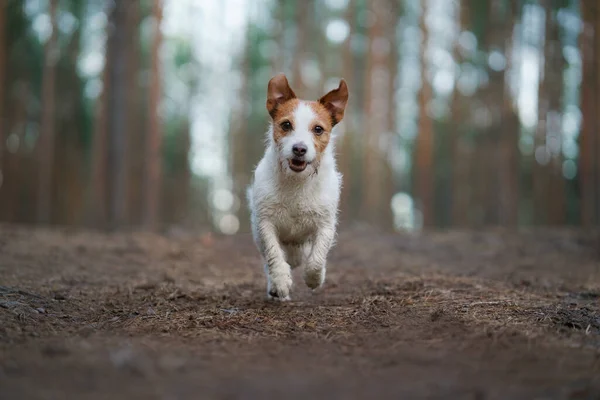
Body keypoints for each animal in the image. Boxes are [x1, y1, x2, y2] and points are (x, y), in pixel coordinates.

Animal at [246, 74, 350, 300]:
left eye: (318, 129)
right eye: (286, 125)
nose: (299, 149)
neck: (297, 181)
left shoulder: (325, 225)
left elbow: (318, 257)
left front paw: (314, 278)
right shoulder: (265, 223)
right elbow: (273, 253)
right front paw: (280, 281)